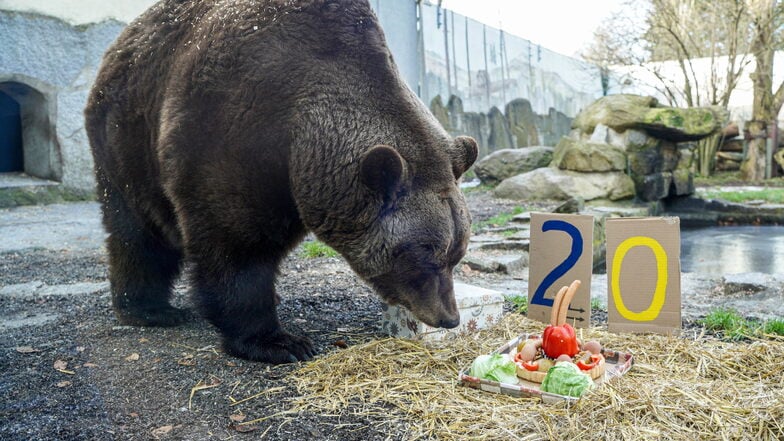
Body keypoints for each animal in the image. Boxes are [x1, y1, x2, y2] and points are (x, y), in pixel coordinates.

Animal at [86, 0, 478, 364]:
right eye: (423, 254)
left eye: (457, 253)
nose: (449, 317)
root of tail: (119, 43)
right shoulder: (230, 131)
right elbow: (236, 245)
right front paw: (278, 342)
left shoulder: (292, 187)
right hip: (127, 139)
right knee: (137, 230)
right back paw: (150, 309)